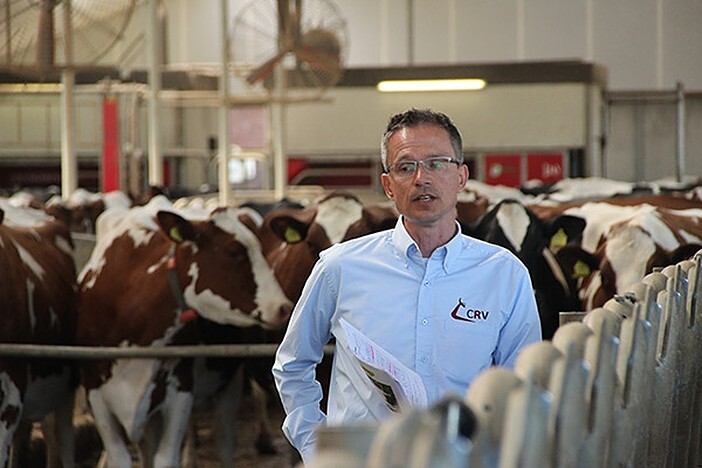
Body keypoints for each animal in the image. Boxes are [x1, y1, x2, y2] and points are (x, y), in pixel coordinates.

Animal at [77, 196, 294, 466]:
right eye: (233, 252)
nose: (284, 308)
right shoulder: (95, 392)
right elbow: (121, 457)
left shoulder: (180, 389)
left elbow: (166, 457)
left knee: (225, 438)